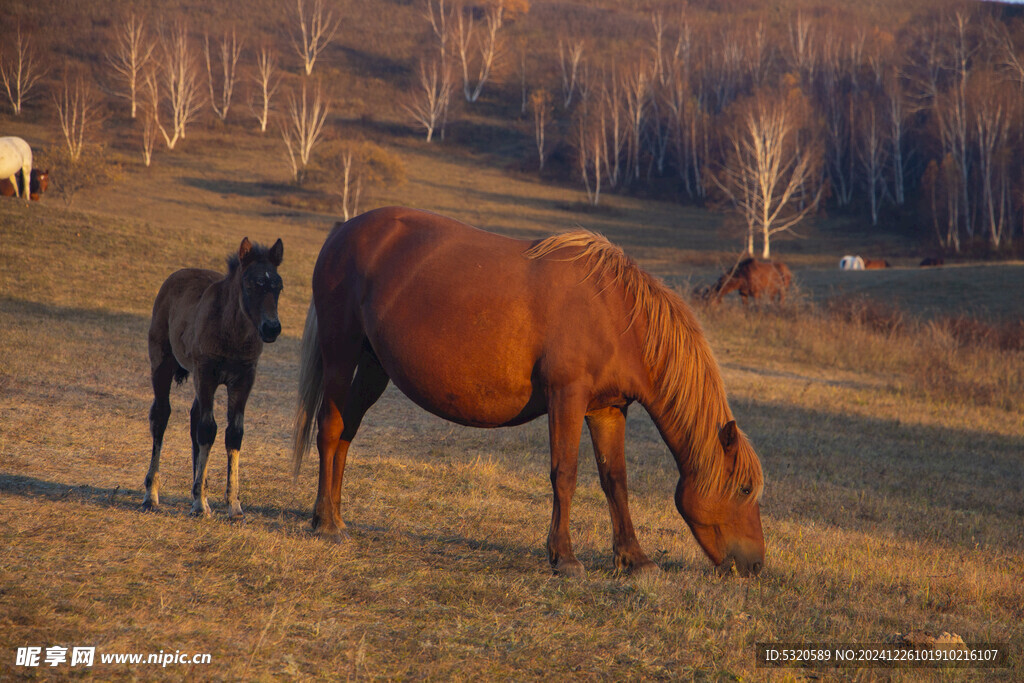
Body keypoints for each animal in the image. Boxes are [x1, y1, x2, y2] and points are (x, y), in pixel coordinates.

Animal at [142, 239, 282, 518]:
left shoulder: (244, 379)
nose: (272, 328)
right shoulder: (206, 373)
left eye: (279, 287)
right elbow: (208, 429)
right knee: (161, 415)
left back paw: (199, 490)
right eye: (251, 284)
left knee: (194, 417)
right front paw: (199, 505)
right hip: (163, 363)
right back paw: (152, 495)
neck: (232, 331)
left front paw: (233, 506)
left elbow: (233, 432)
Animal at [292, 206, 765, 577]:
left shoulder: (608, 409)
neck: (617, 314)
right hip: (341, 354)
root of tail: (343, 231)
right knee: (330, 428)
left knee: (347, 432)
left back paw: (332, 516)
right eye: (744, 489)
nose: (757, 565)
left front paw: (635, 559)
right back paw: (327, 523)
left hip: (374, 368)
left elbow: (615, 480)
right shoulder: (567, 397)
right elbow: (565, 474)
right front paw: (565, 558)